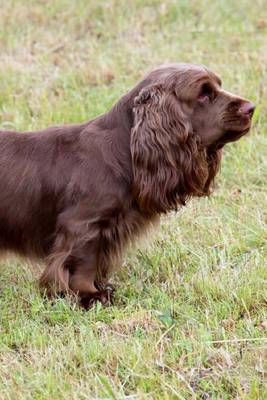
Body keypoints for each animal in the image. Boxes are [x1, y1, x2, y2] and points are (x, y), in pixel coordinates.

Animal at [0, 64, 255, 308]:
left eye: (219, 85)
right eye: (203, 94)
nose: (251, 107)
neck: (126, 152)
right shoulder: (82, 225)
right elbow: (83, 262)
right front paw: (90, 296)